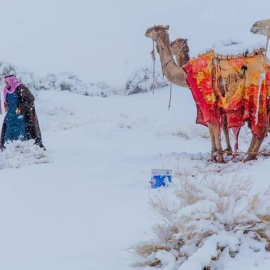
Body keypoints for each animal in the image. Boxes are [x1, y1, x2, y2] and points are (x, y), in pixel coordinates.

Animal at [146, 24, 266, 162]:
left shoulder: (207, 99)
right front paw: (223, 153)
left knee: (260, 127)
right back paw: (248, 155)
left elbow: (212, 126)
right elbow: (219, 126)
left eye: (154, 29)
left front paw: (217, 156)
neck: (185, 73)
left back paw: (247, 157)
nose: (146, 31)